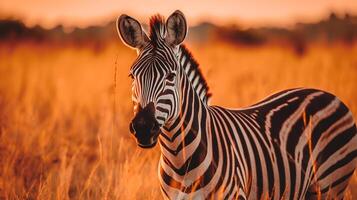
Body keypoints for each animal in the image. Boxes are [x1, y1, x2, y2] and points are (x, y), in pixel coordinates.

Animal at [117, 10, 356, 198]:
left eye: (170, 76)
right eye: (132, 76)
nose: (143, 128)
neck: (179, 158)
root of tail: (328, 94)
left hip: (331, 183)